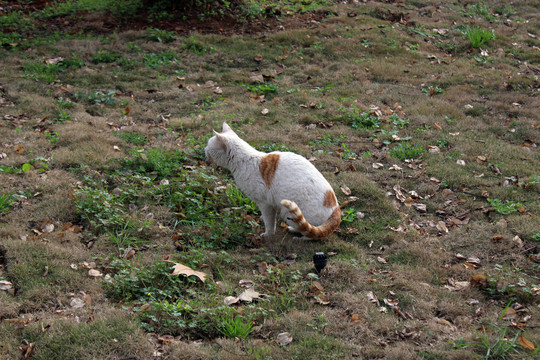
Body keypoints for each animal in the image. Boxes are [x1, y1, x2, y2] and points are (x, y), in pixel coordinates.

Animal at [205, 123, 340, 239]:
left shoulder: (265, 203)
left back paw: (300, 236)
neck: (244, 161)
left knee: (312, 233)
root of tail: (336, 209)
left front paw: (268, 234)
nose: (204, 149)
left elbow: (269, 222)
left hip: (288, 211)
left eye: (208, 145)